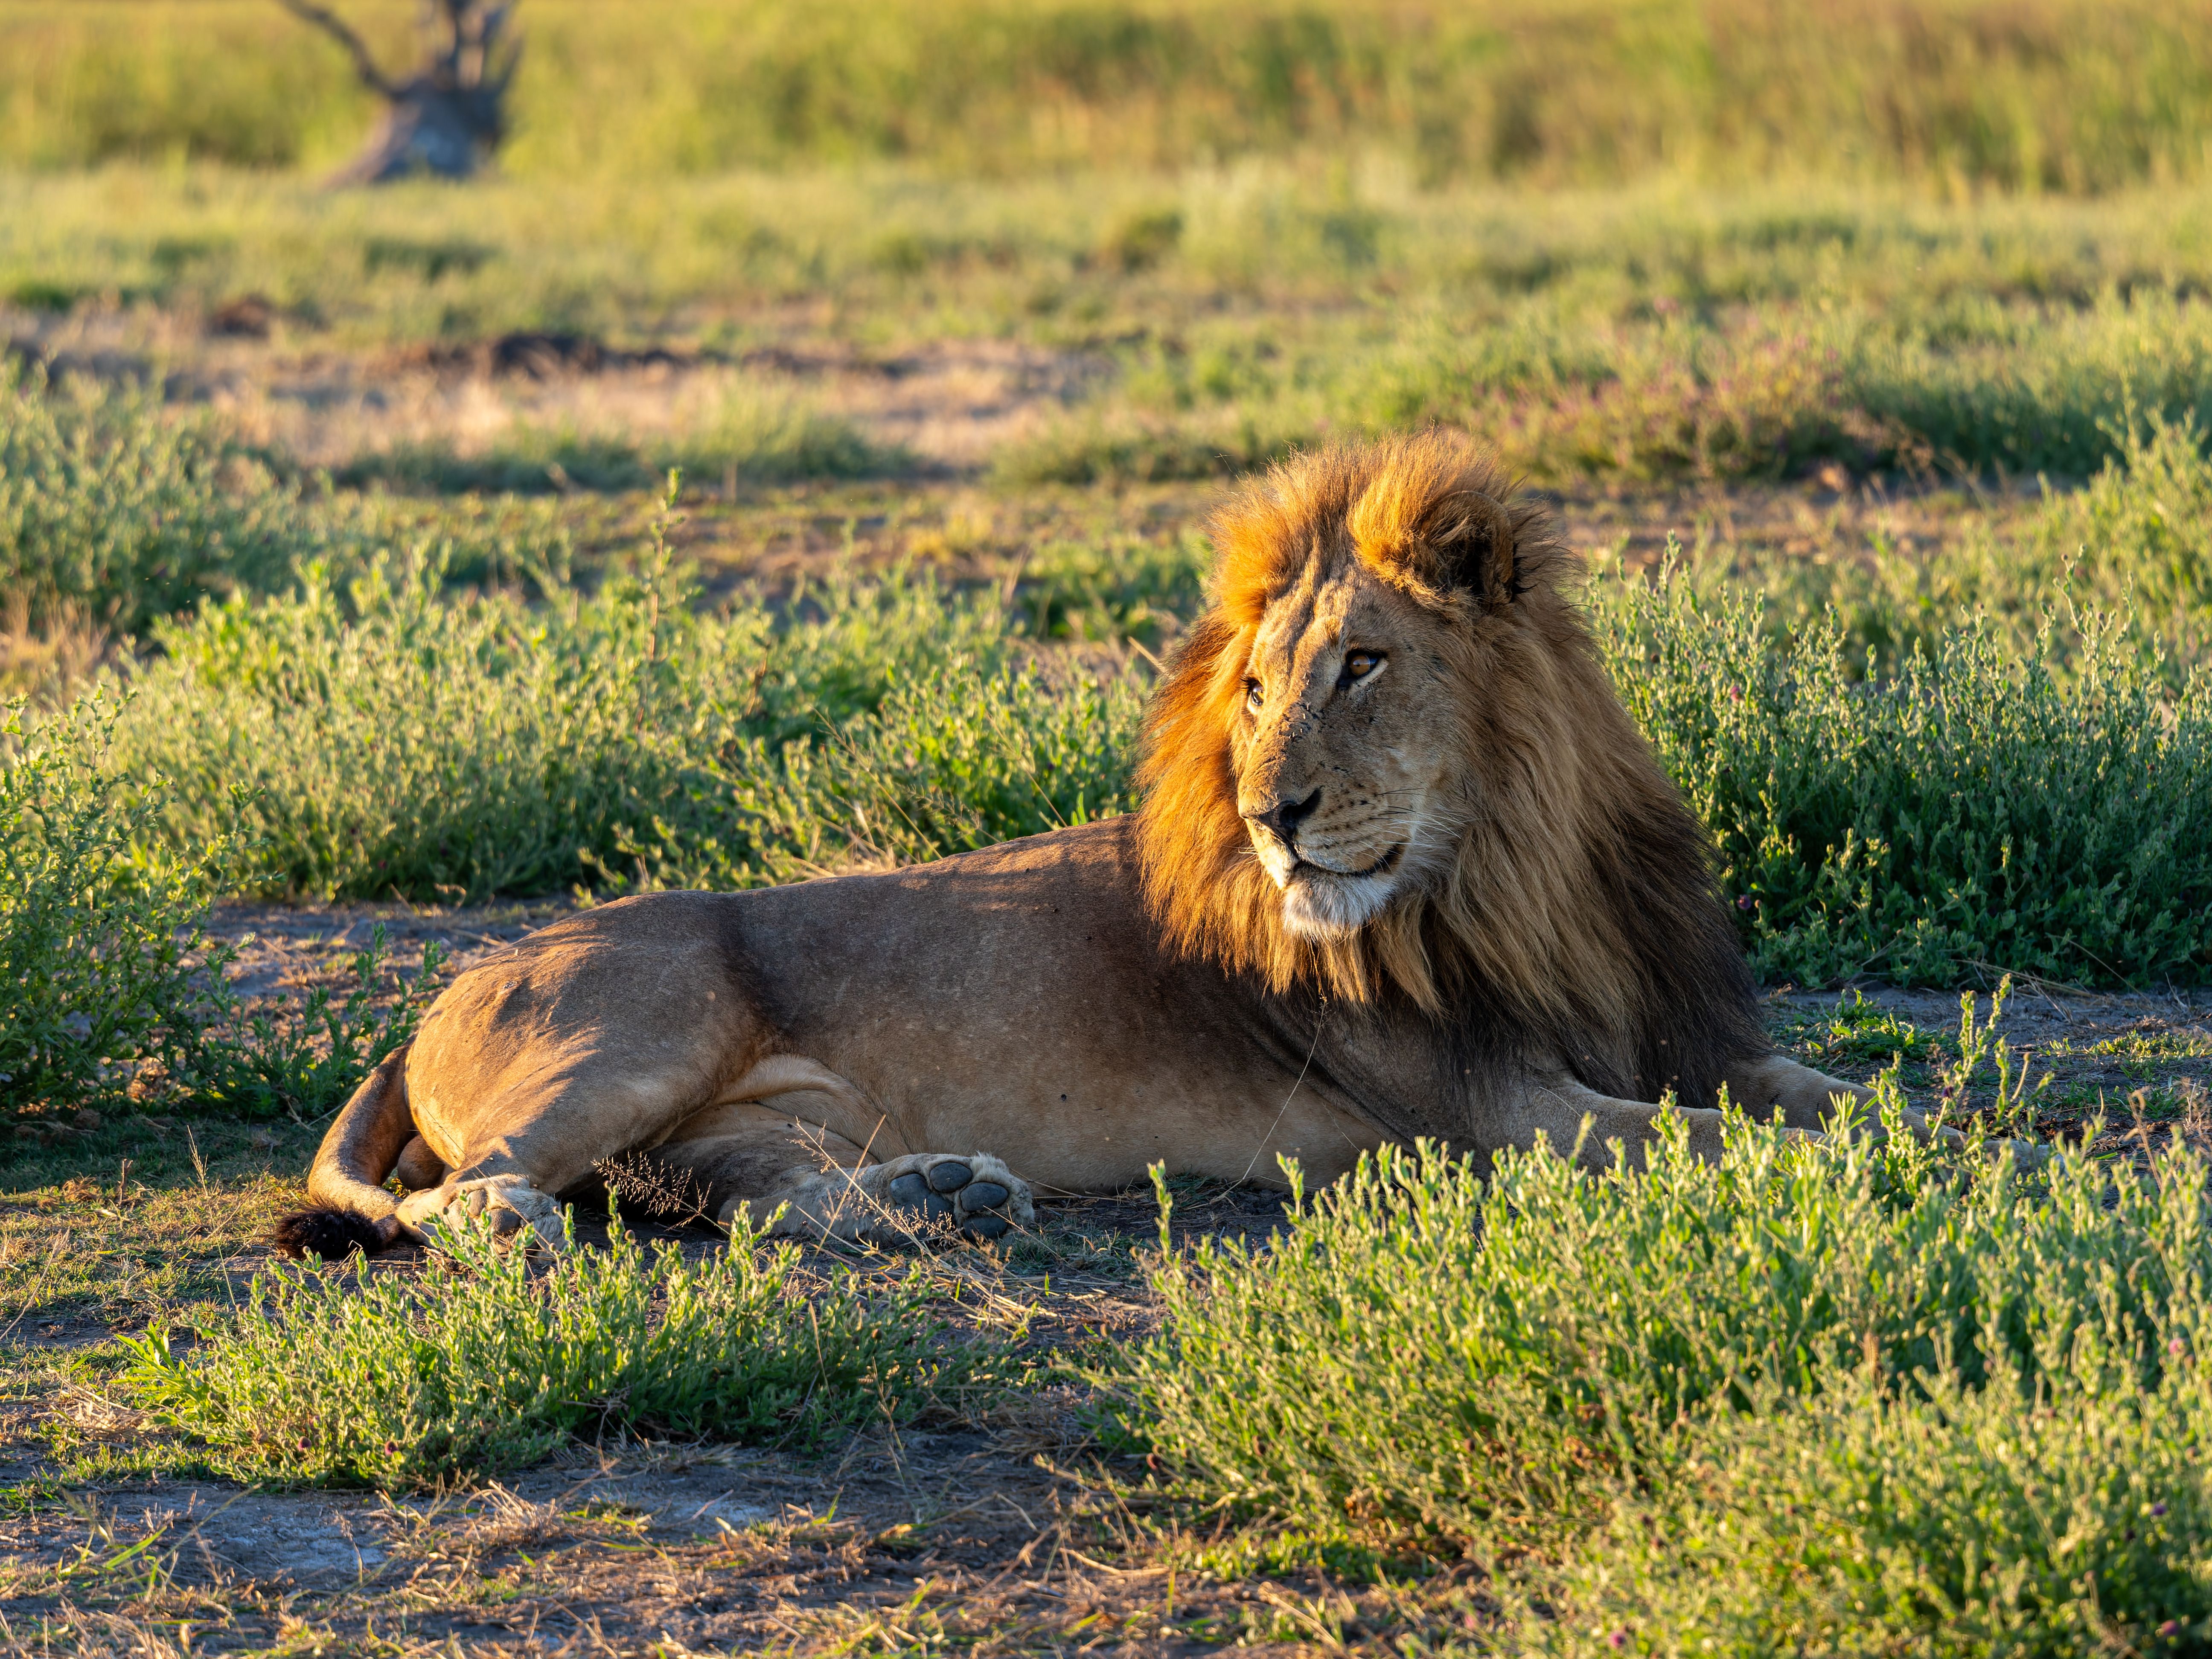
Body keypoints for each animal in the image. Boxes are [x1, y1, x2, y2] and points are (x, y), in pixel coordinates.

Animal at [277, 431, 1939, 1261]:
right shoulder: (1495, 1110)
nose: (1273, 815)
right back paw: (526, 1237)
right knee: (478, 1190)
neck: (1514, 873)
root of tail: (435, 994)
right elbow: (1727, 1138)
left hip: (749, 1117)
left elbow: (1842, 1097)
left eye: (1363, 665)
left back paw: (948, 1198)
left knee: (740, 1190)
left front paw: (1949, 1130)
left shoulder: (1676, 1030)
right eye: (1256, 687)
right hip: (643, 1029)